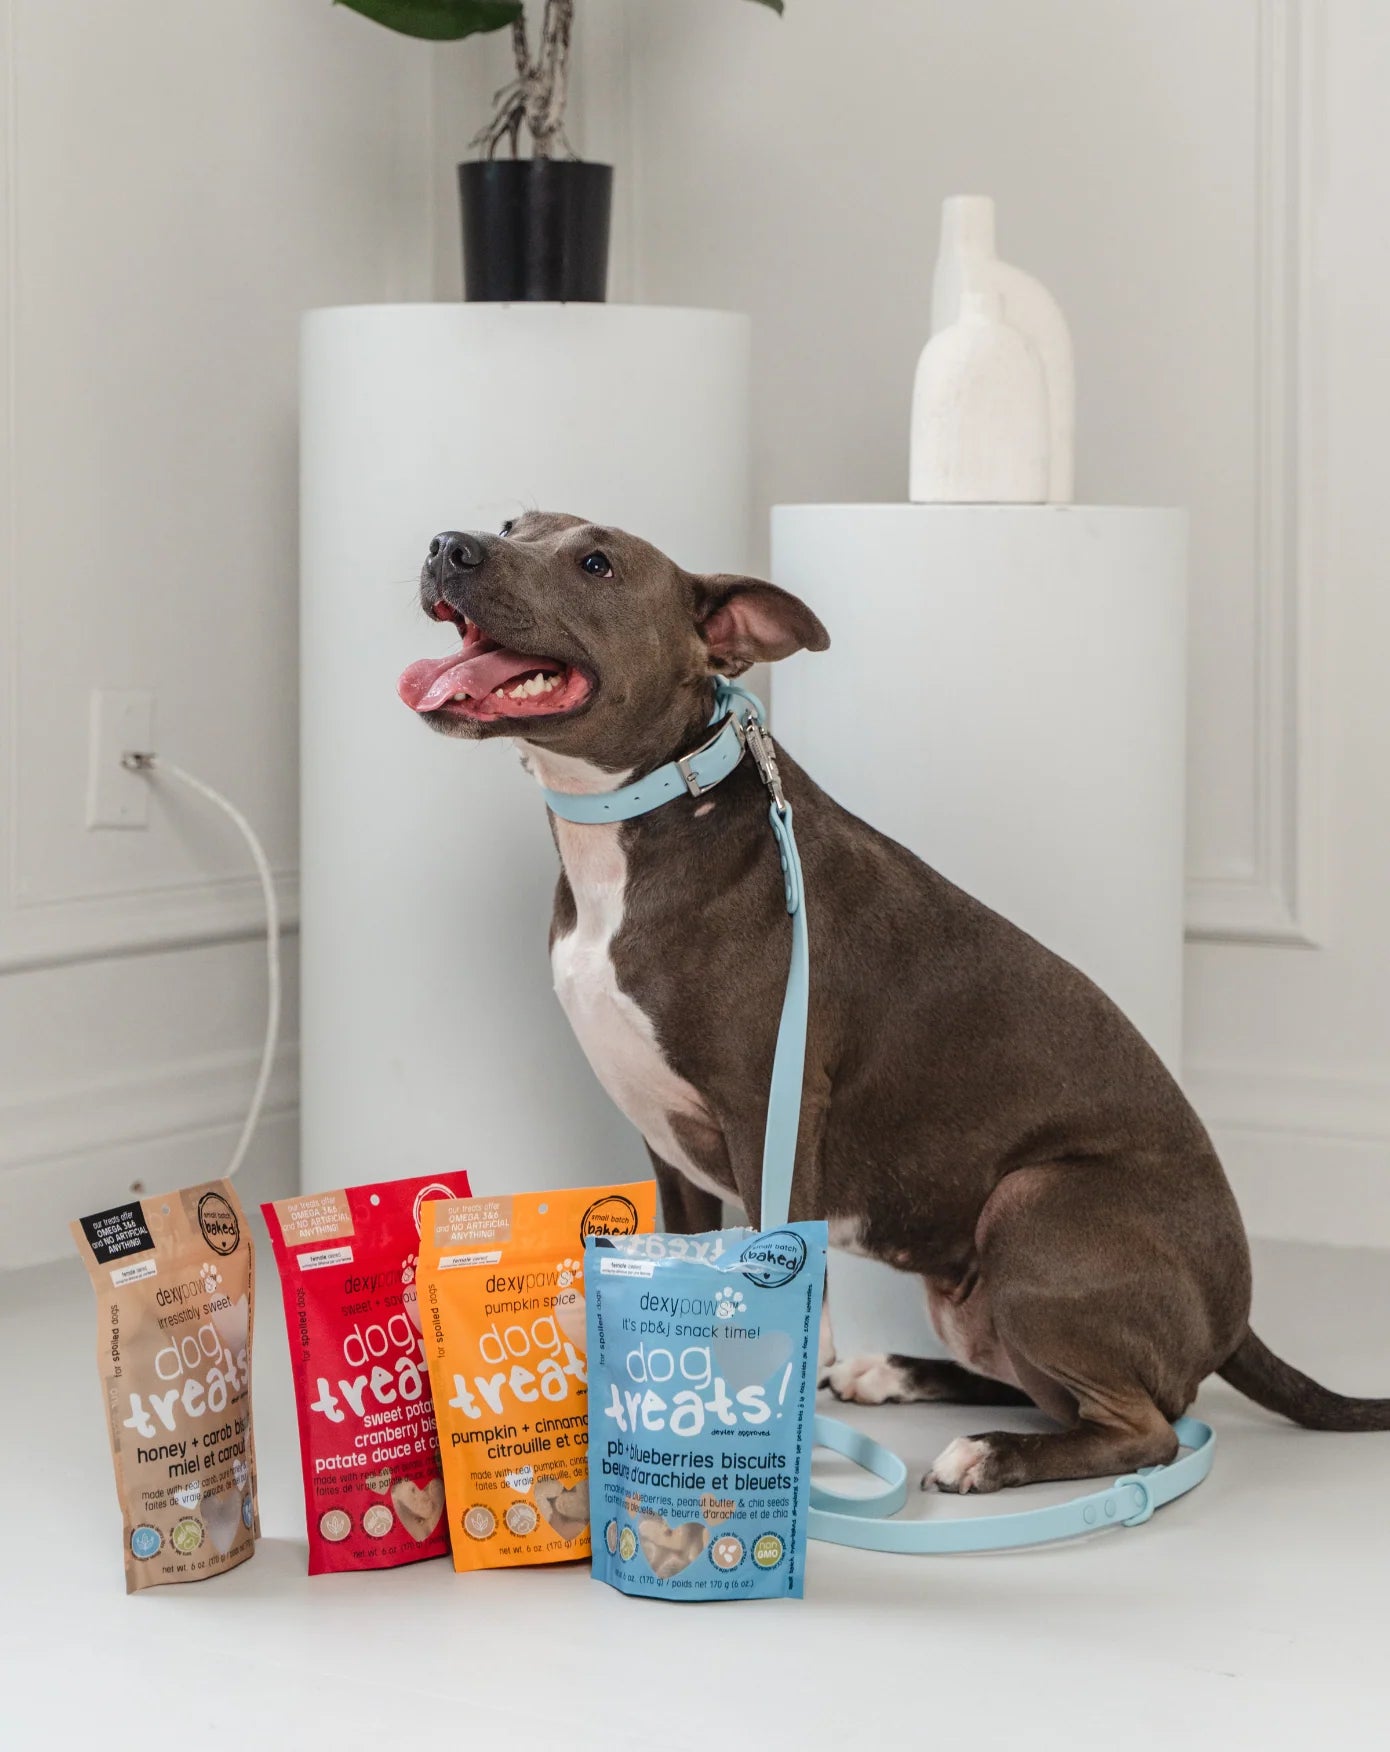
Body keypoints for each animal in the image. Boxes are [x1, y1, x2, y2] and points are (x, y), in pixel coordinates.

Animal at [399, 511, 1390, 1494]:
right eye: (513, 523)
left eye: (597, 563)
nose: (450, 544)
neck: (640, 824)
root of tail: (1235, 1319)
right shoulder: (668, 1149)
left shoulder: (772, 1117)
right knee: (1049, 1389)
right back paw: (900, 1376)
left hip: (1032, 1204)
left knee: (1144, 1428)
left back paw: (989, 1455)